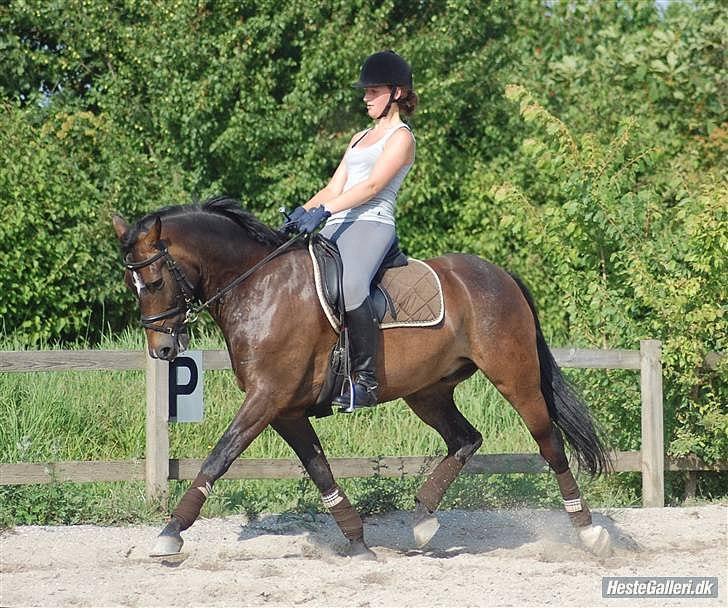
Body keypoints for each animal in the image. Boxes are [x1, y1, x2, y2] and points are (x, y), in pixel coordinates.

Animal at [112, 196, 613, 559]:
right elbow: (320, 470)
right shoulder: (285, 409)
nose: (162, 351)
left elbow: (219, 457)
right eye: (131, 285)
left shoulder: (266, 398)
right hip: (428, 393)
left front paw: (171, 531)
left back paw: (589, 532)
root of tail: (499, 273)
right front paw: (356, 540)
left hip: (515, 377)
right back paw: (422, 520)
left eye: (153, 282)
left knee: (550, 445)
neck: (259, 286)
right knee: (465, 439)